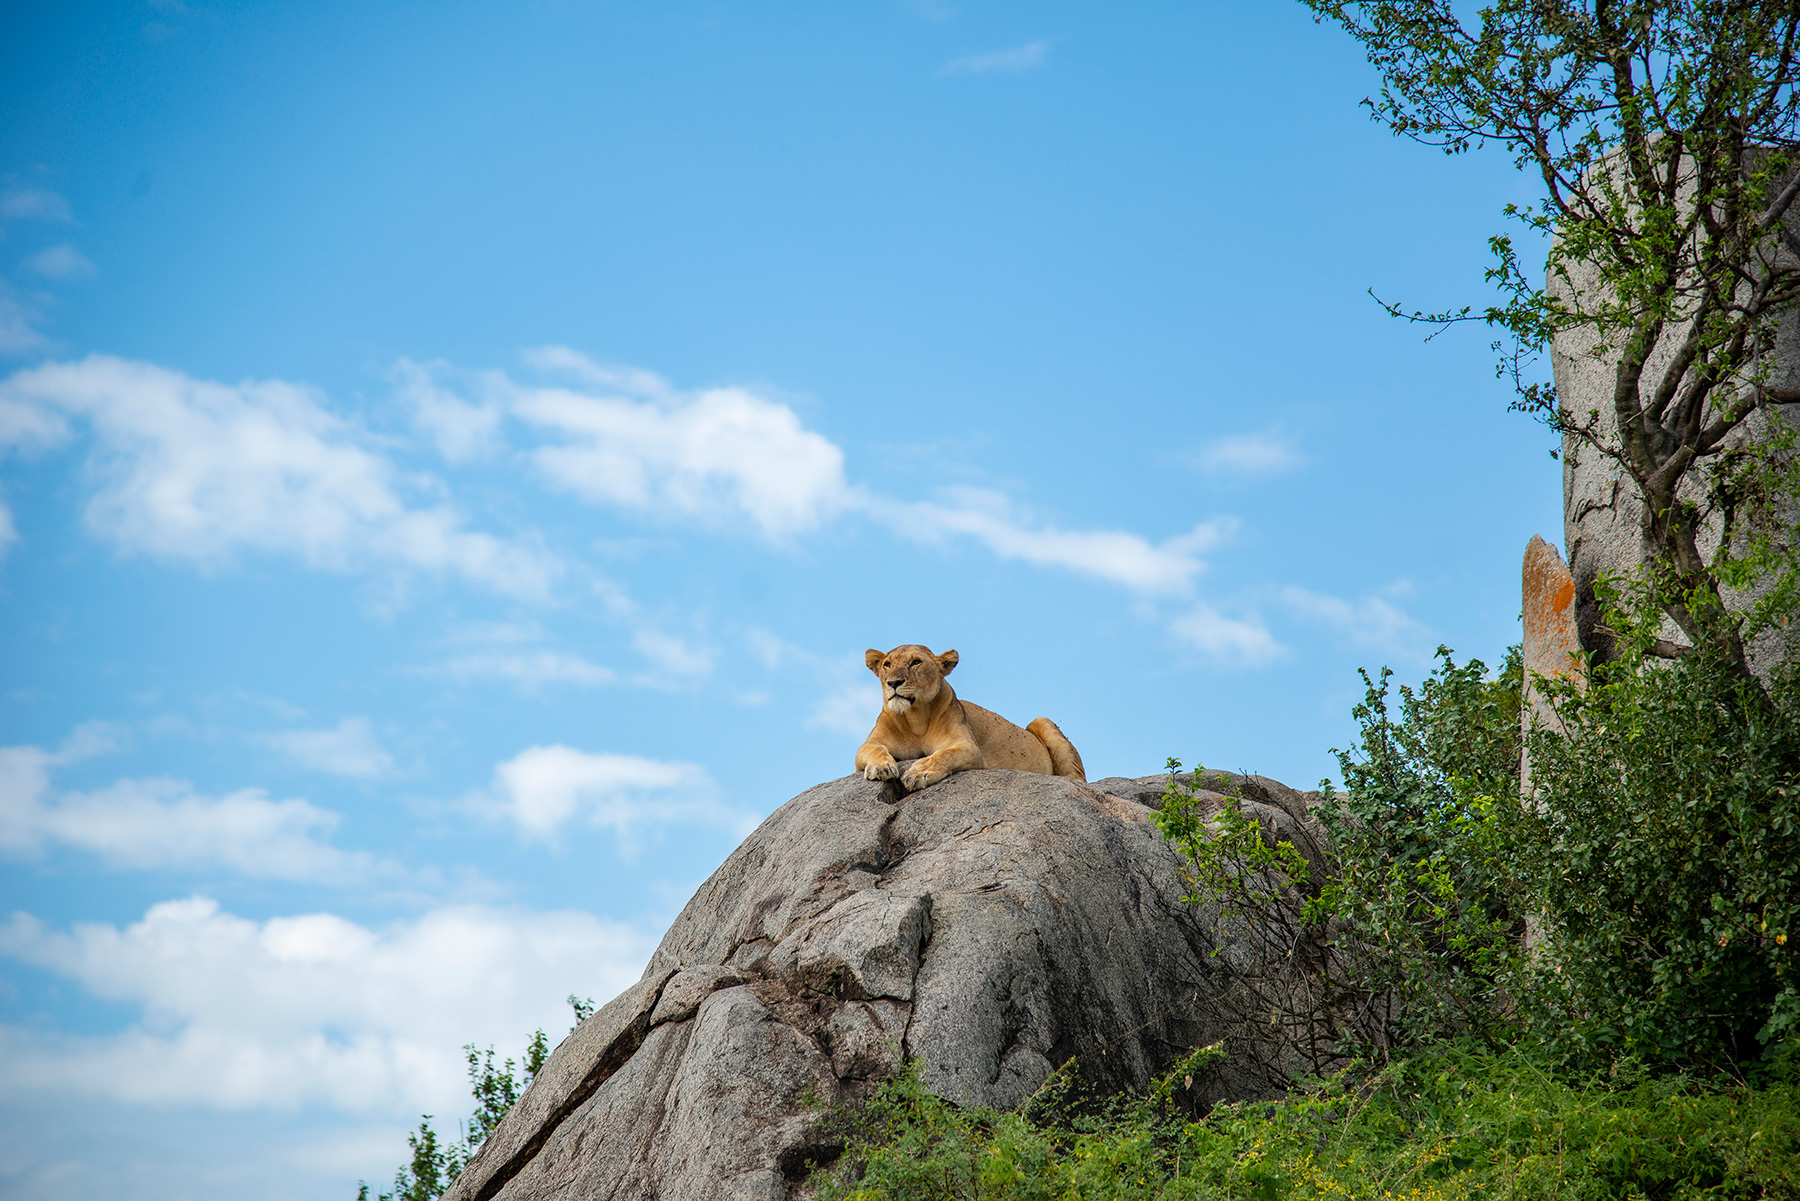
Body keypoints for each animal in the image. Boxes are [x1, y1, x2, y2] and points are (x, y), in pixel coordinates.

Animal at [853, 644, 1087, 792]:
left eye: (916, 662)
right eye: (887, 664)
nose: (893, 682)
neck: (914, 718)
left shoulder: (969, 747)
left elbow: (944, 755)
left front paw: (919, 773)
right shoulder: (868, 745)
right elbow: (874, 749)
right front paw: (881, 767)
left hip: (1042, 720)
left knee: (1079, 781)